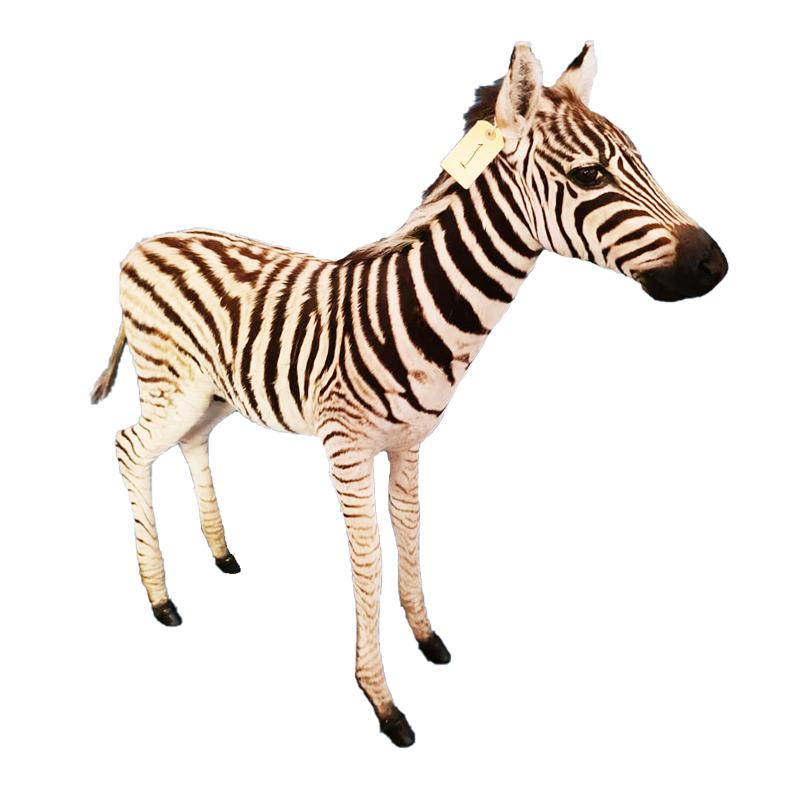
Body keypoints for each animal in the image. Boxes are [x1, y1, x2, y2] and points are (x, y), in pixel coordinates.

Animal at [91, 41, 728, 747]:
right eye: (589, 176)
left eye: (642, 162)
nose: (714, 264)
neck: (422, 311)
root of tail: (149, 241)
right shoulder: (347, 448)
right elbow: (368, 561)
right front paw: (381, 697)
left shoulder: (412, 441)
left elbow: (412, 529)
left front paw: (426, 637)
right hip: (170, 384)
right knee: (130, 449)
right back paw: (160, 599)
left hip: (214, 390)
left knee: (194, 442)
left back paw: (225, 555)